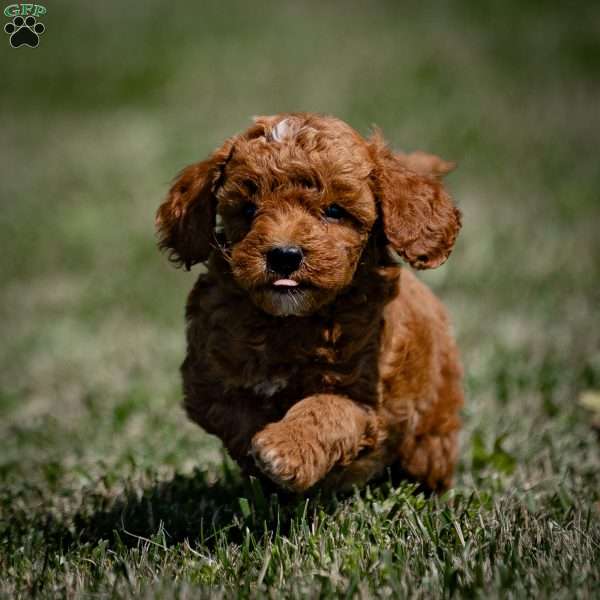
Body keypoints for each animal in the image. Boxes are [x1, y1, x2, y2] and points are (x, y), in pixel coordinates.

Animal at [156, 112, 464, 492]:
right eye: (249, 209)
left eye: (334, 210)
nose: (284, 255)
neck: (291, 320)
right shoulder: (205, 381)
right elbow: (236, 414)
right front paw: (261, 452)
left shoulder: (363, 398)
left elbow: (325, 410)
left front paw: (283, 449)